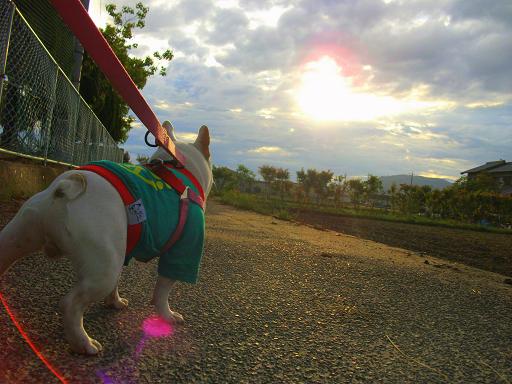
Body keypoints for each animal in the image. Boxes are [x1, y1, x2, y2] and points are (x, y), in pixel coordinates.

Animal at [0, 122, 212, 354]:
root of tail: (66, 189)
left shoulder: (123, 249)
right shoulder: (182, 251)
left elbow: (118, 284)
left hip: (21, 233)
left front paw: (115, 302)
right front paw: (168, 316)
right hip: (104, 268)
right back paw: (84, 343)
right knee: (71, 303)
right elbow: (163, 290)